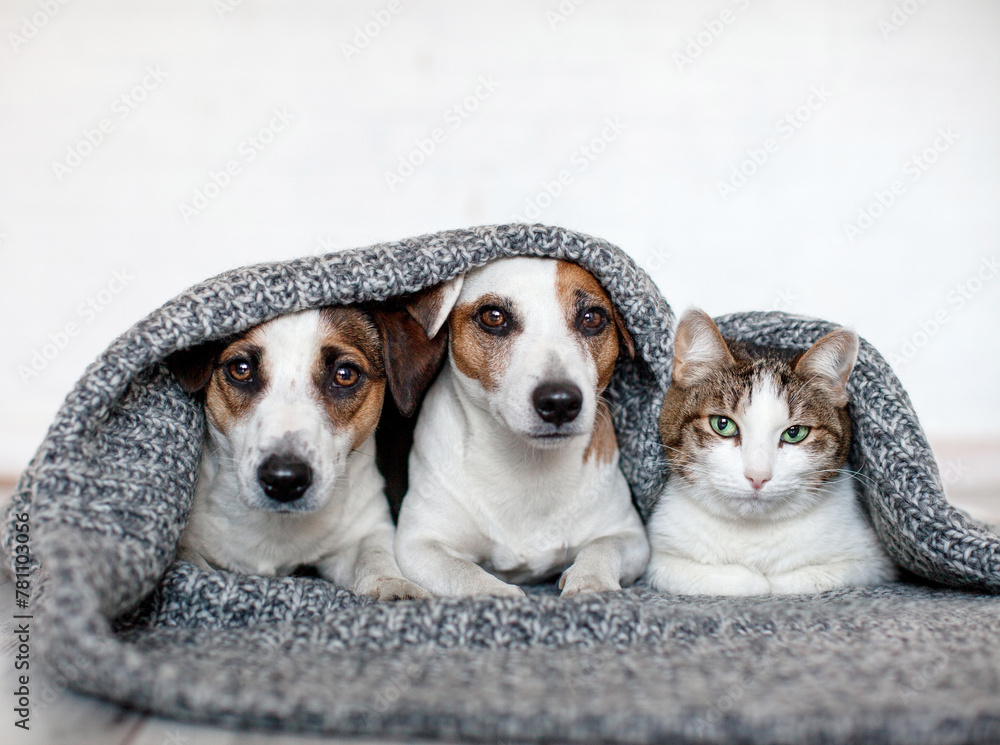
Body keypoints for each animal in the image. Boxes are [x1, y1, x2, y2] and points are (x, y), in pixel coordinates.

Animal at [167, 306, 442, 600]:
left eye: (345, 374)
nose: (284, 480)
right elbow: (192, 560)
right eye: (240, 369)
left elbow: (374, 552)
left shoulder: (367, 526)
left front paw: (392, 584)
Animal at [394, 258, 652, 596]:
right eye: (493, 316)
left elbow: (603, 547)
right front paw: (498, 594)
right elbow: (461, 571)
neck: (527, 465)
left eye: (592, 317)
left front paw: (591, 581)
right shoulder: (417, 544)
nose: (559, 402)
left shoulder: (631, 536)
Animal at [644, 308, 896, 592]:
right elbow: (719, 578)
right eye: (722, 424)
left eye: (795, 433)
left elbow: (807, 578)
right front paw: (754, 581)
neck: (752, 535)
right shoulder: (661, 558)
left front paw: (776, 582)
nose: (758, 476)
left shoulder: (875, 563)